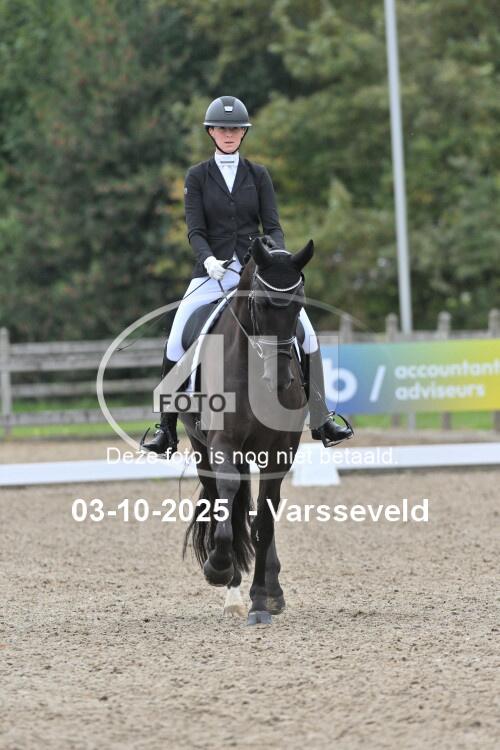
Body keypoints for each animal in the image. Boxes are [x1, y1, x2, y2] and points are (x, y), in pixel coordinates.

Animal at [181, 236, 314, 625]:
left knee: (258, 513)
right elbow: (228, 504)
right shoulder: (223, 443)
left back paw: (272, 591)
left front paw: (260, 601)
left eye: (299, 307)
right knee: (223, 500)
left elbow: (264, 523)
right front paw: (219, 568)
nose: (281, 381)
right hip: (202, 449)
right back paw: (231, 590)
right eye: (260, 304)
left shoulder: (280, 452)